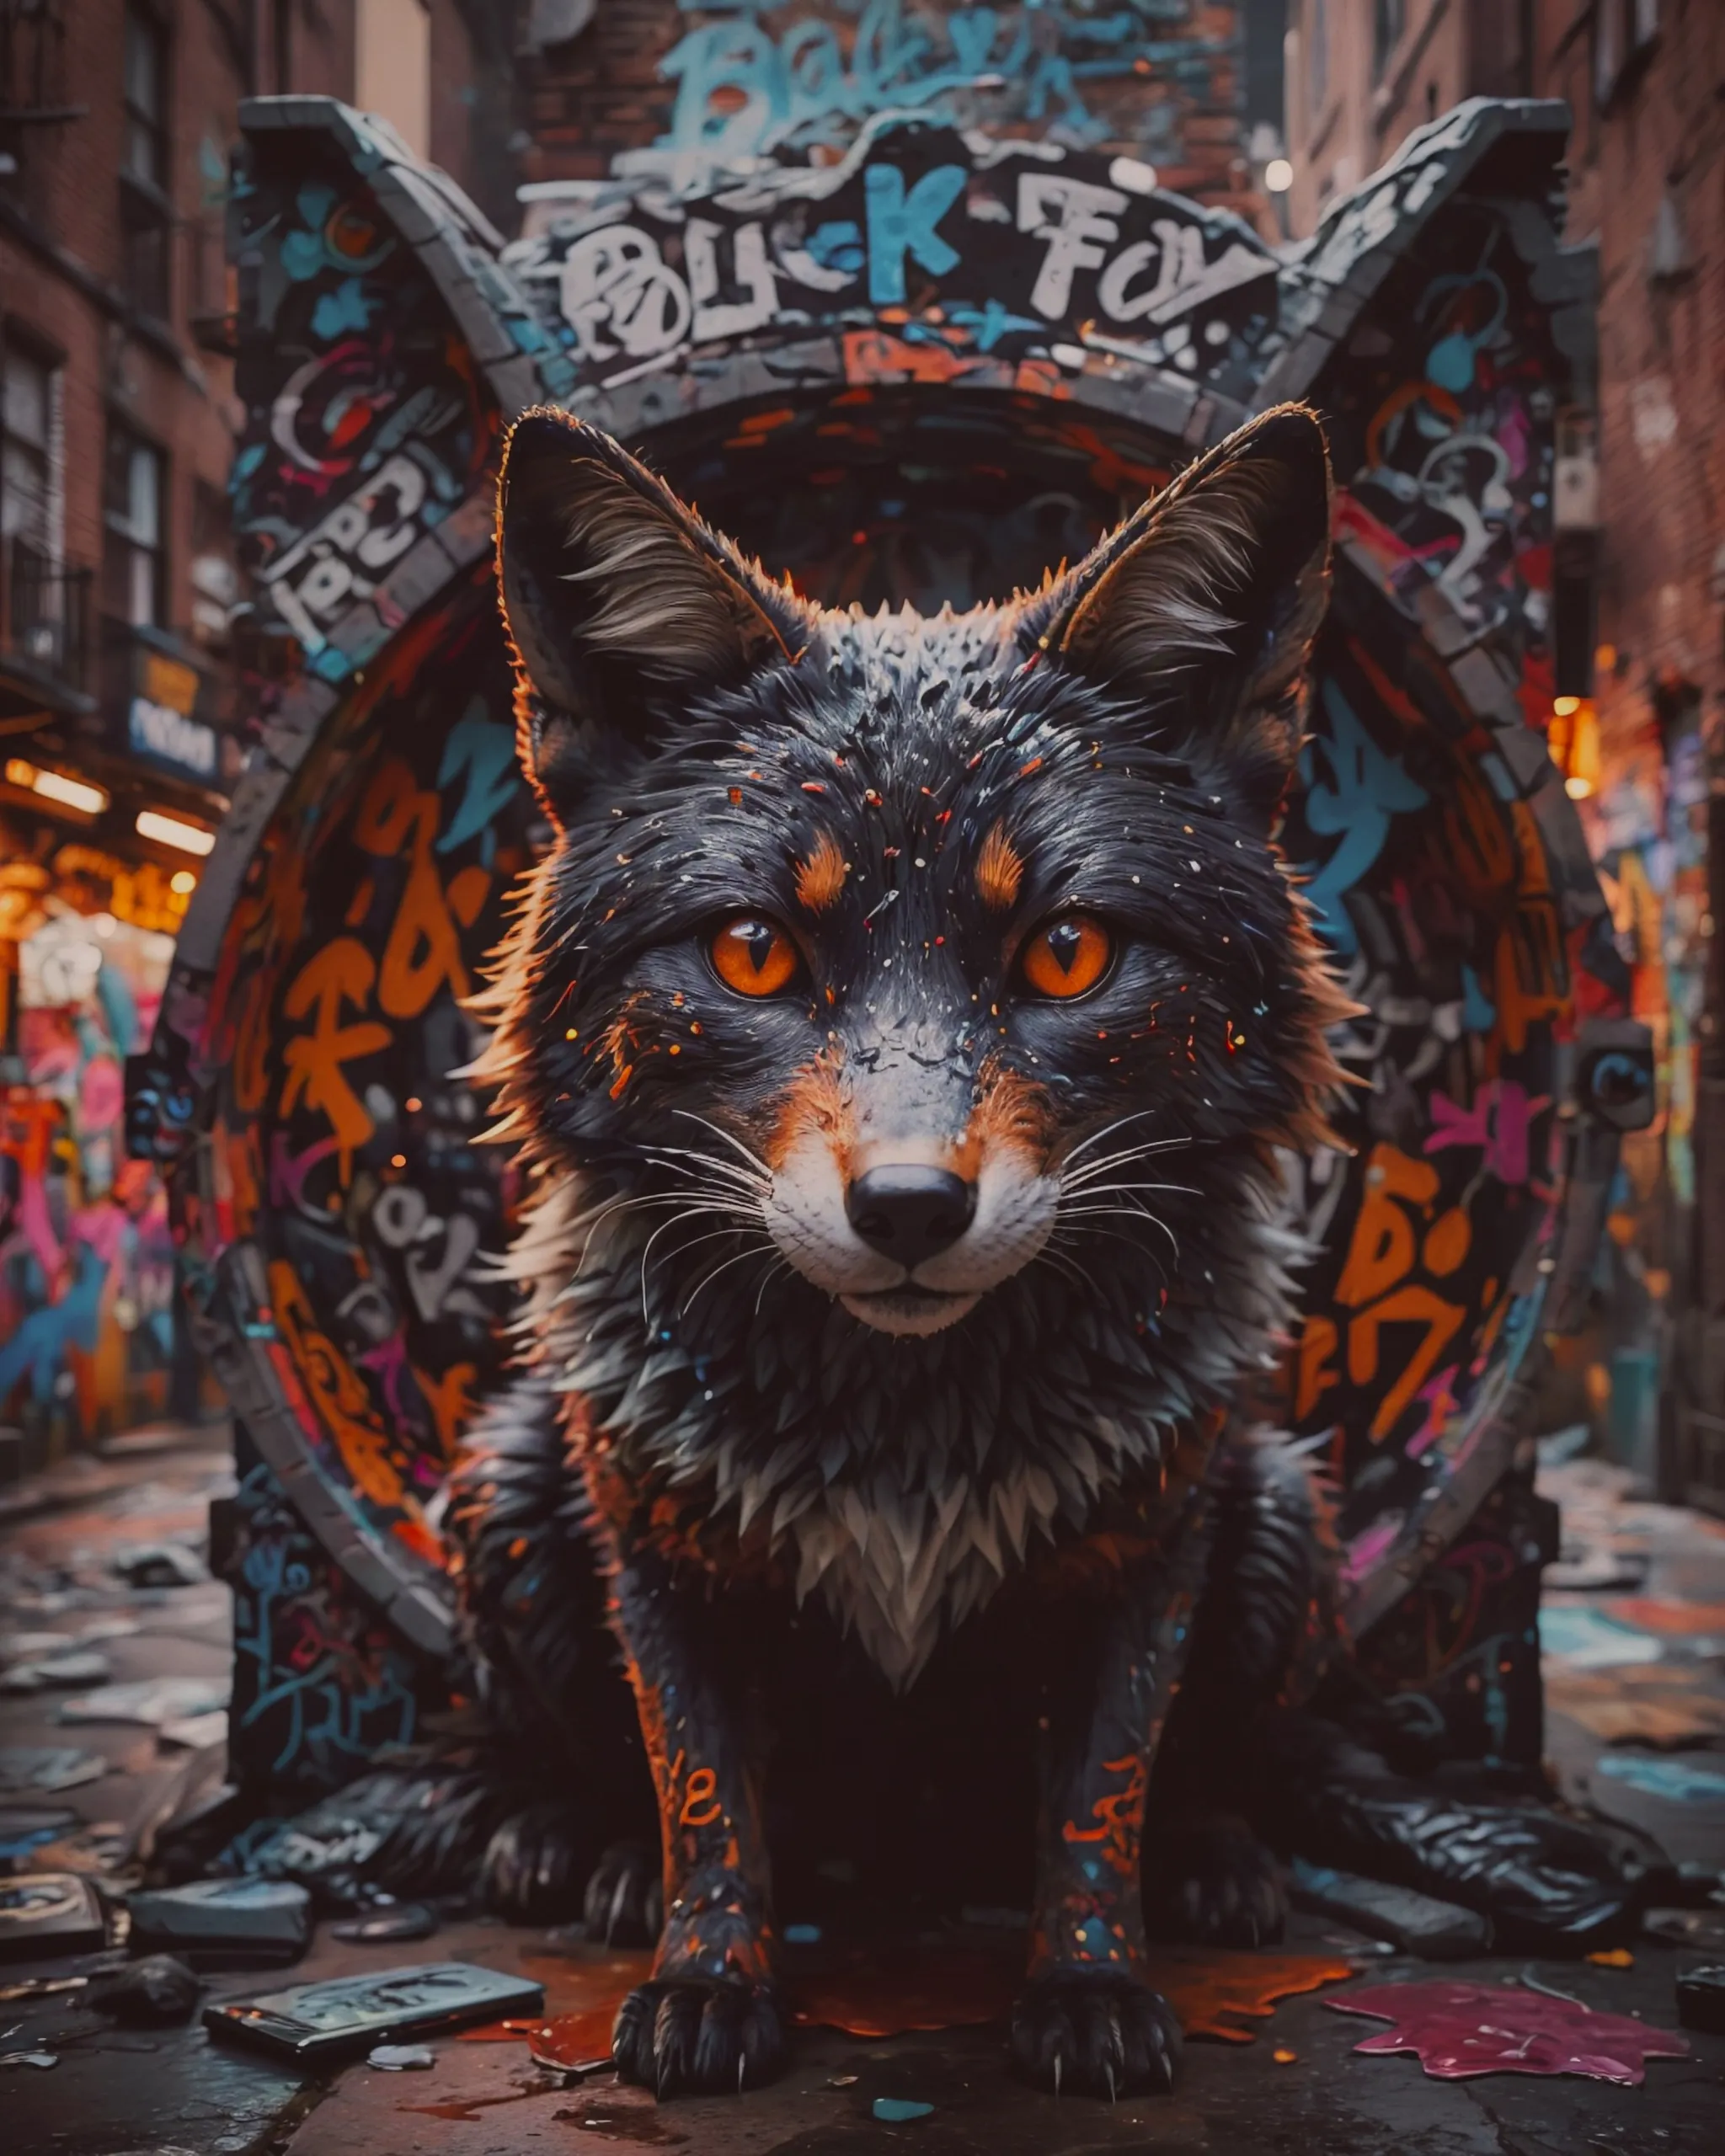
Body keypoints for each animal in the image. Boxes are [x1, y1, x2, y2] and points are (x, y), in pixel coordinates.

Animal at [439, 400, 1636, 2102]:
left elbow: (1099, 1800)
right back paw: (573, 1846)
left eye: (1067, 952)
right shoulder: (652, 1542)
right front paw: (703, 1983)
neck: (903, 1441)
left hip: (1278, 1518)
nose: (907, 1211)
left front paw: (1087, 1990)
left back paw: (1217, 1861)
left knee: (1219, 1768)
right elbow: (703, 1793)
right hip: (511, 1494)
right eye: (752, 952)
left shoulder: (1150, 1549)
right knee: (604, 1766)